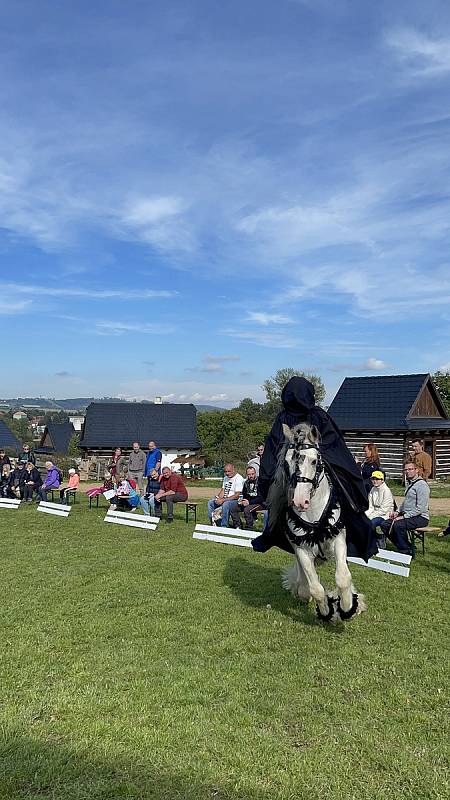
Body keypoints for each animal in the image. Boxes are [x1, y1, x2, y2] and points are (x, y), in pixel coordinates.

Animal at [268, 422, 366, 620]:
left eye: (314, 461)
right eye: (286, 463)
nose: (299, 501)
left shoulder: (338, 540)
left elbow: (343, 577)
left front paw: (347, 607)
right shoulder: (301, 550)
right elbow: (314, 588)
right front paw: (326, 611)